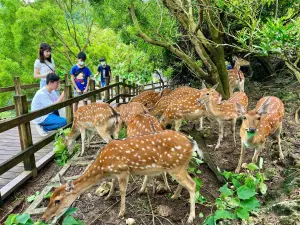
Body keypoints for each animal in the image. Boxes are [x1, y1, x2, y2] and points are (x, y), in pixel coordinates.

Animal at [41, 129, 203, 224]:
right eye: (49, 198)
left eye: (57, 200)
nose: (43, 218)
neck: (103, 166)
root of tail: (192, 143)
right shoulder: (114, 172)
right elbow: (112, 184)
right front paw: (107, 197)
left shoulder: (123, 170)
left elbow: (123, 191)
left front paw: (121, 213)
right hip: (181, 166)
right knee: (187, 181)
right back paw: (174, 196)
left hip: (176, 166)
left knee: (192, 184)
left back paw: (190, 217)